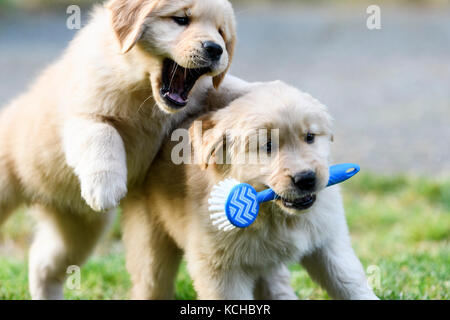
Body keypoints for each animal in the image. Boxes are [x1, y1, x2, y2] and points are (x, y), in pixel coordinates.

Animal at [0, 0, 246, 300]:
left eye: (221, 33)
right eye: (181, 19)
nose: (215, 49)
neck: (144, 91)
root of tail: (39, 197)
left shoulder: (200, 97)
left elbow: (232, 86)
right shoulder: (84, 115)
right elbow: (104, 133)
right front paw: (105, 187)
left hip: (78, 229)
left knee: (43, 264)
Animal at [125, 80, 380, 300]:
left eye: (310, 137)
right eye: (267, 146)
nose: (306, 178)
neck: (274, 215)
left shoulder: (328, 243)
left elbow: (350, 283)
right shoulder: (220, 270)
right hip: (152, 246)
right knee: (151, 283)